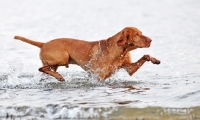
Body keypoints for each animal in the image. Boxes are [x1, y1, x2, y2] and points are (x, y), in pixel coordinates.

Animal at [14, 27, 160, 81]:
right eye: (137, 34)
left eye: (141, 33)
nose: (151, 40)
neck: (120, 51)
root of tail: (43, 44)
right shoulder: (98, 77)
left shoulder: (129, 68)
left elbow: (145, 56)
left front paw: (154, 59)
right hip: (62, 58)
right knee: (41, 68)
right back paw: (59, 77)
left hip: (55, 64)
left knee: (44, 70)